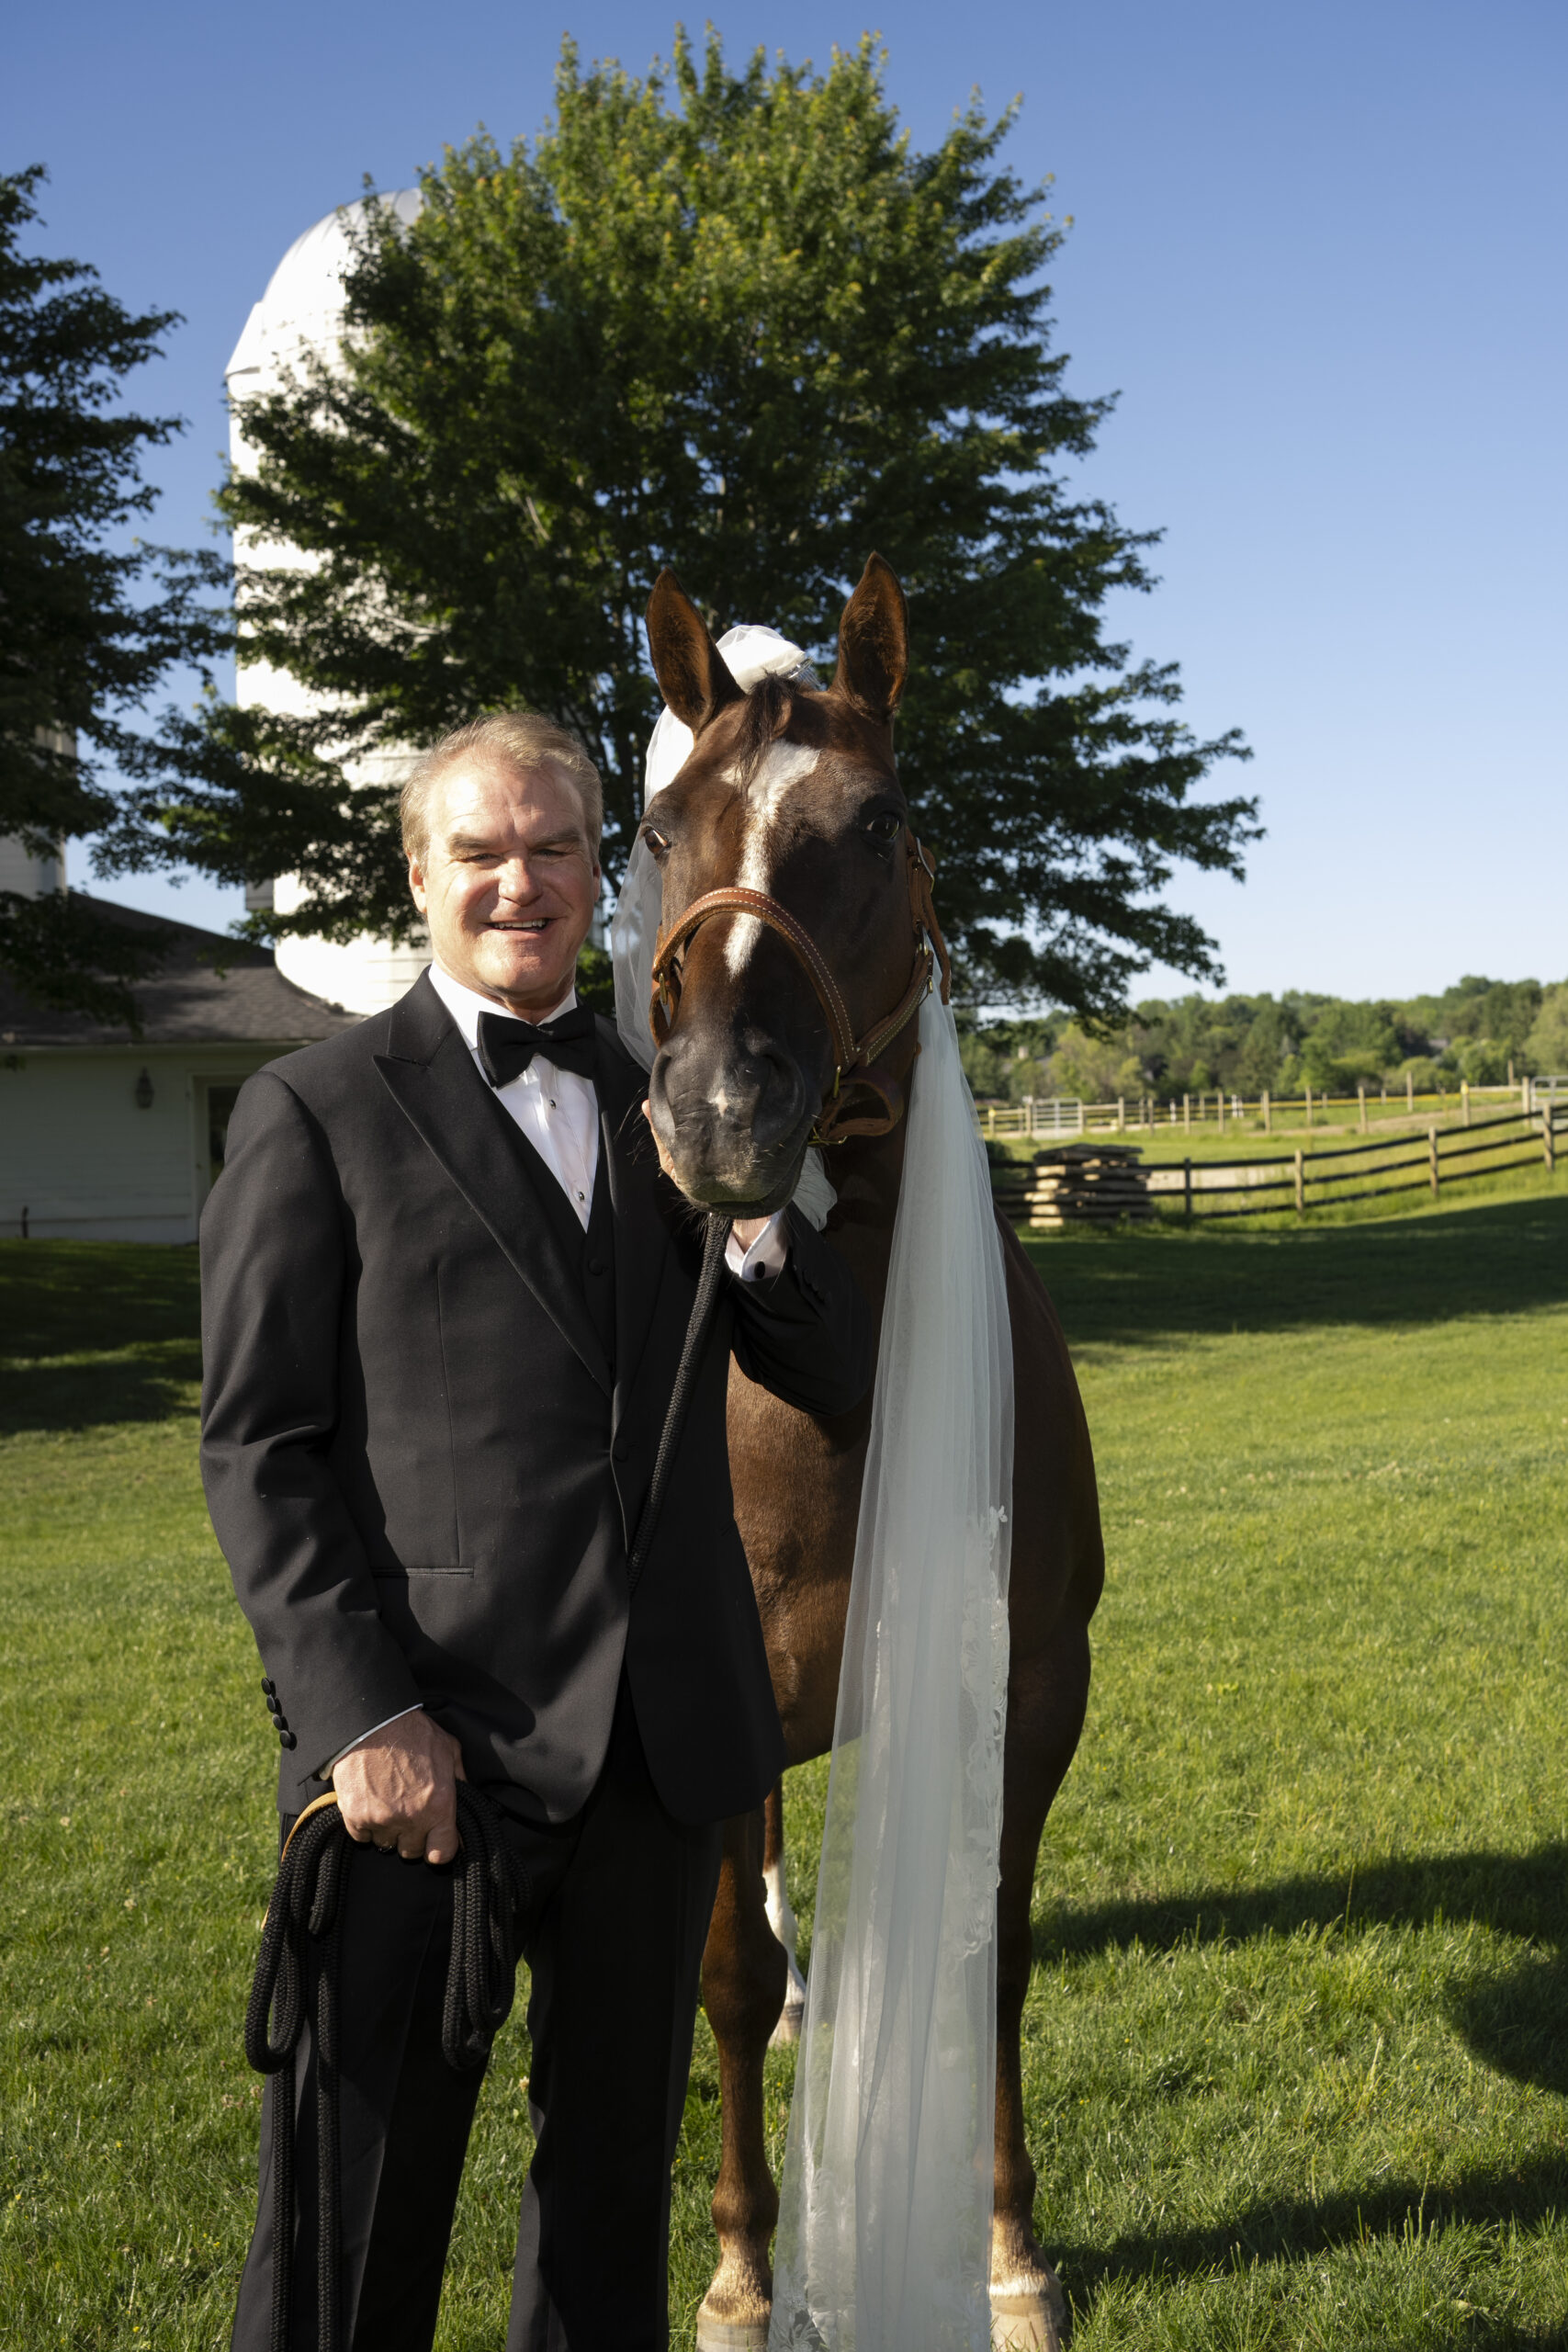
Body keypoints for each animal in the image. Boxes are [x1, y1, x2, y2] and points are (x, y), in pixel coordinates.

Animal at [639, 555, 1104, 2352]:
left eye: (881, 815)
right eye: (656, 829)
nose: (716, 1108)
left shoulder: (1027, 1687)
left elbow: (989, 1949)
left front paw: (1008, 2254)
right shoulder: (712, 1715)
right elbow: (717, 1977)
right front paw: (742, 2276)